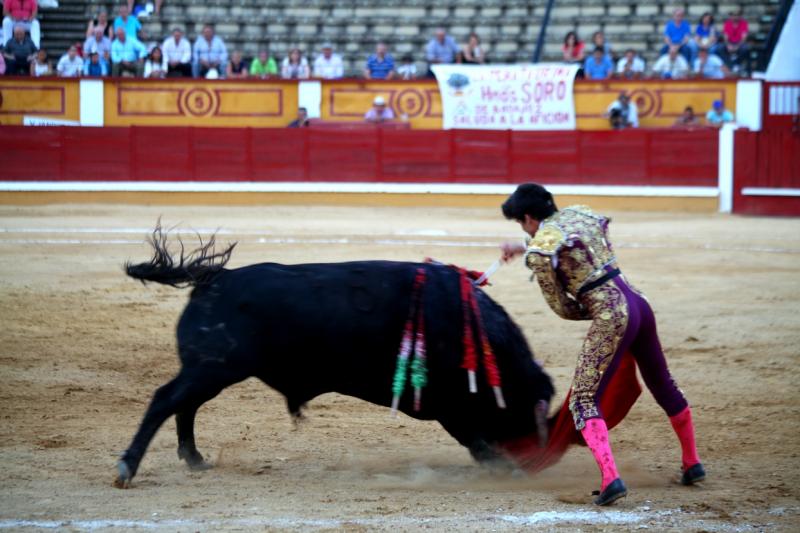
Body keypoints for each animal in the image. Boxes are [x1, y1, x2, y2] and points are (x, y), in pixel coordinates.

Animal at [115, 224, 552, 486]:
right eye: (525, 413)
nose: (532, 464)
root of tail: (217, 276)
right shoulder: (450, 402)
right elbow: (474, 435)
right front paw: (501, 465)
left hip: (211, 371)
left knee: (185, 405)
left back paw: (194, 459)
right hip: (211, 367)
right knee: (167, 400)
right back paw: (128, 467)